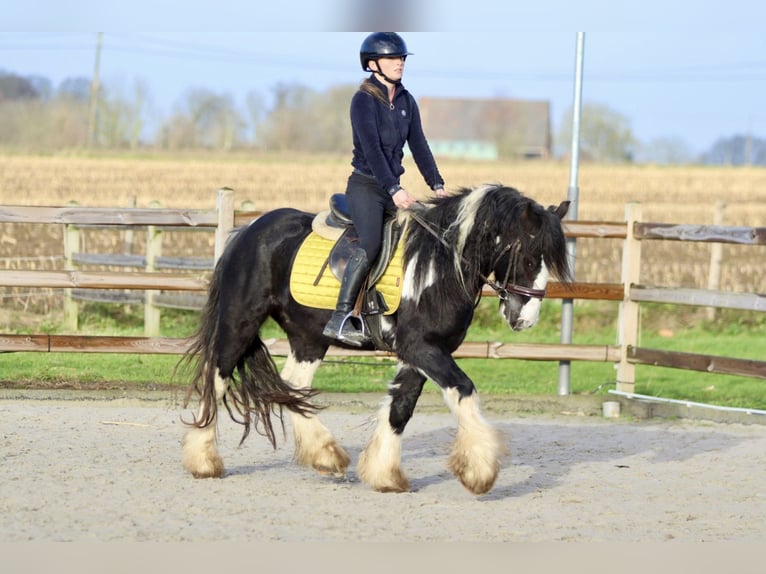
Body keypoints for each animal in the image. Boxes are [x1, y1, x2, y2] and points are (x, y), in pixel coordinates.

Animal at [180, 183, 572, 496]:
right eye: (527, 256)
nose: (525, 319)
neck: (438, 266)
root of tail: (249, 230)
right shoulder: (421, 348)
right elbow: (463, 389)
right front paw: (480, 471)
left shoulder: (424, 351)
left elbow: (400, 407)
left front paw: (384, 475)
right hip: (240, 319)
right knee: (217, 375)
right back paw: (204, 461)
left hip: (308, 336)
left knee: (293, 384)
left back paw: (326, 455)